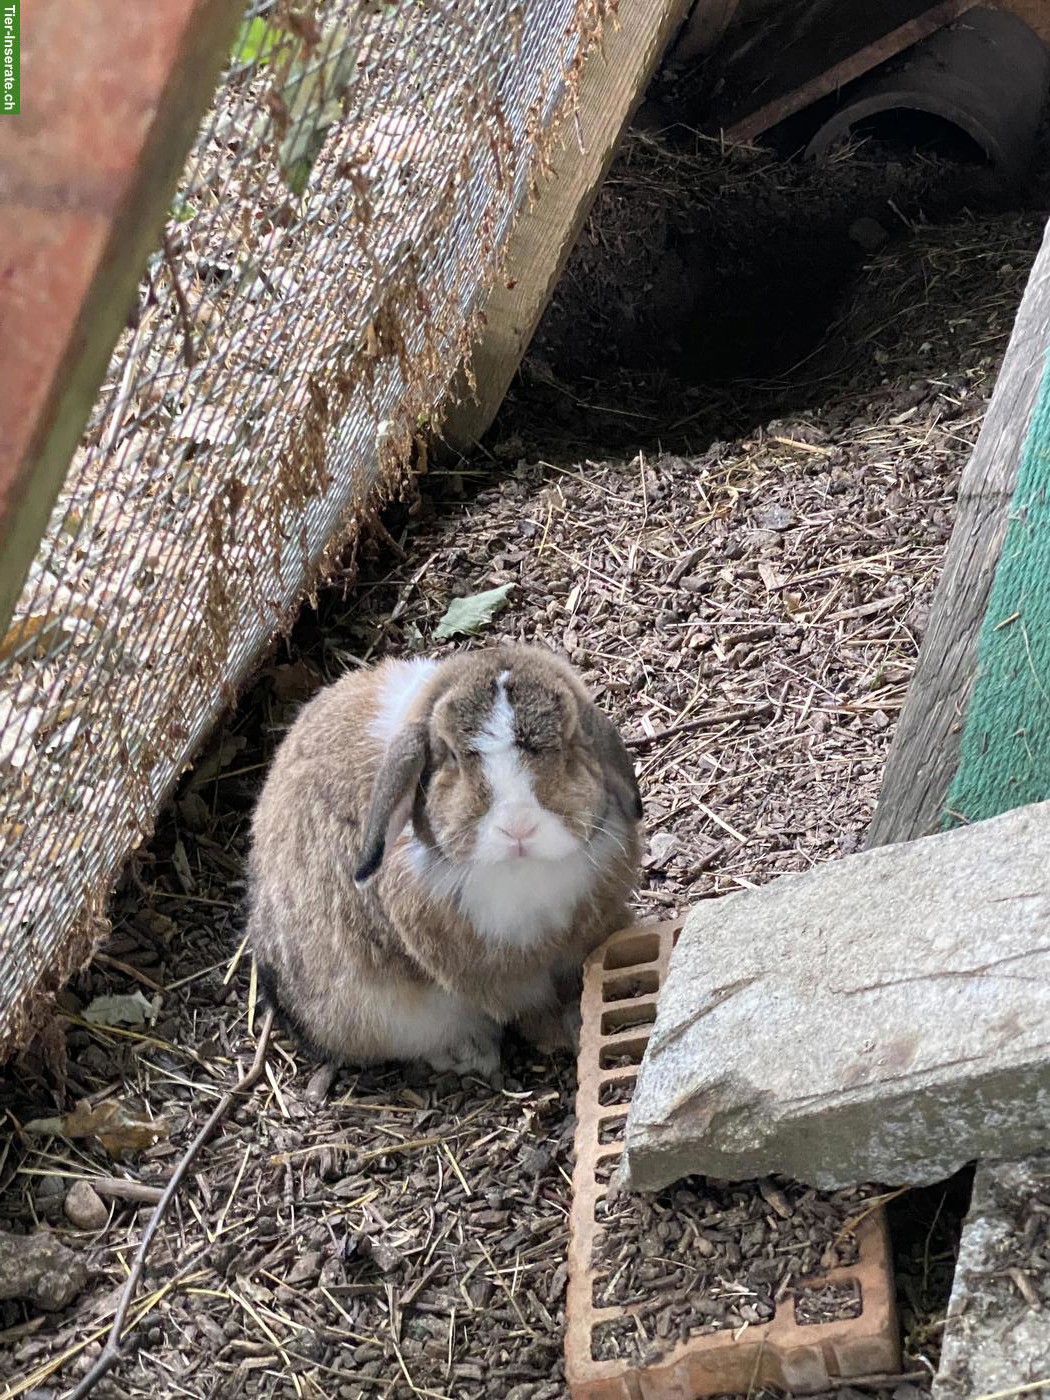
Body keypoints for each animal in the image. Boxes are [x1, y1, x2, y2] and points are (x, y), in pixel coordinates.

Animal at [245, 643, 643, 1079]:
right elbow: (534, 1010)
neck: (523, 873)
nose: (518, 827)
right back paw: (470, 1053)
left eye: (570, 741)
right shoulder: (508, 981)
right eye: (450, 755)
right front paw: (565, 1034)